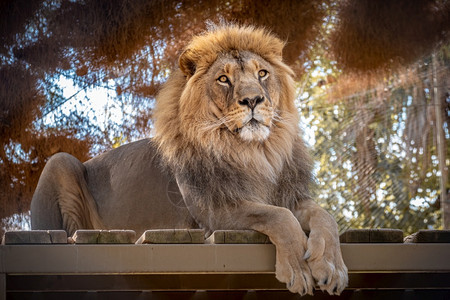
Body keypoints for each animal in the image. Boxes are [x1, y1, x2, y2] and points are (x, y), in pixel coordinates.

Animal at [30, 23, 348, 296]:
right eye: (223, 79)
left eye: (262, 74)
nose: (253, 100)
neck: (255, 152)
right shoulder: (213, 211)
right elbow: (277, 216)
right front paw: (298, 269)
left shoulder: (289, 195)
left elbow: (325, 216)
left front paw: (332, 268)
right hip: (59, 162)